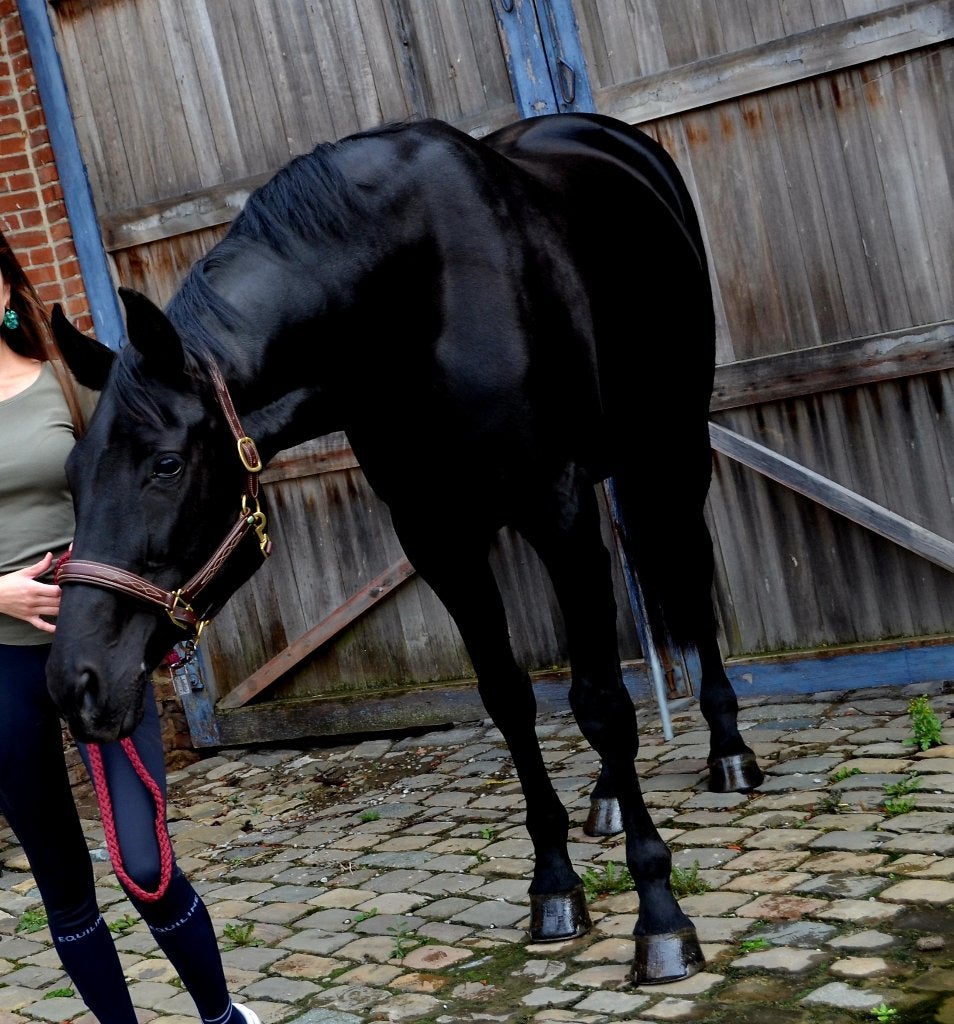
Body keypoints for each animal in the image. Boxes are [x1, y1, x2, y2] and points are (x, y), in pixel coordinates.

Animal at [47, 112, 763, 984]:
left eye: (165, 465)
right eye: (73, 475)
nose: (76, 683)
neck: (409, 306)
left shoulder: (555, 509)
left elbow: (600, 702)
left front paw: (659, 913)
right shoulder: (436, 537)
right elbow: (511, 701)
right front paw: (554, 885)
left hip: (673, 438)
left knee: (689, 573)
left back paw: (730, 751)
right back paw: (607, 798)